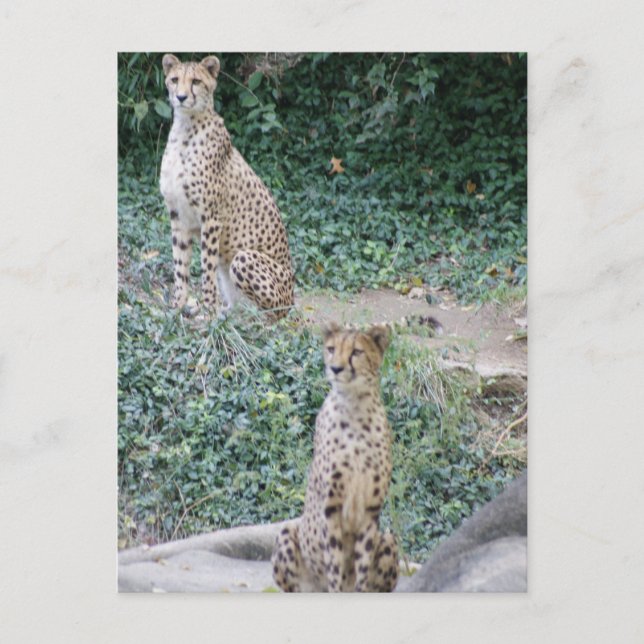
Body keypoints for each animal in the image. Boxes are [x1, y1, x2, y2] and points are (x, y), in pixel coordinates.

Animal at [159, 54, 295, 318]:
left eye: (196, 81)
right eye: (174, 79)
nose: (181, 97)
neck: (185, 128)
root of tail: (292, 299)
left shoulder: (211, 218)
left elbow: (206, 267)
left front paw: (207, 312)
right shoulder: (178, 215)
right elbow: (180, 266)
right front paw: (177, 306)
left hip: (244, 259)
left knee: (271, 317)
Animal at [272, 322, 399, 592]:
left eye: (357, 352)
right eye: (331, 349)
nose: (336, 368)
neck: (355, 408)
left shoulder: (370, 509)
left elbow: (362, 563)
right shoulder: (331, 507)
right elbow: (334, 562)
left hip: (388, 540)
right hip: (287, 533)